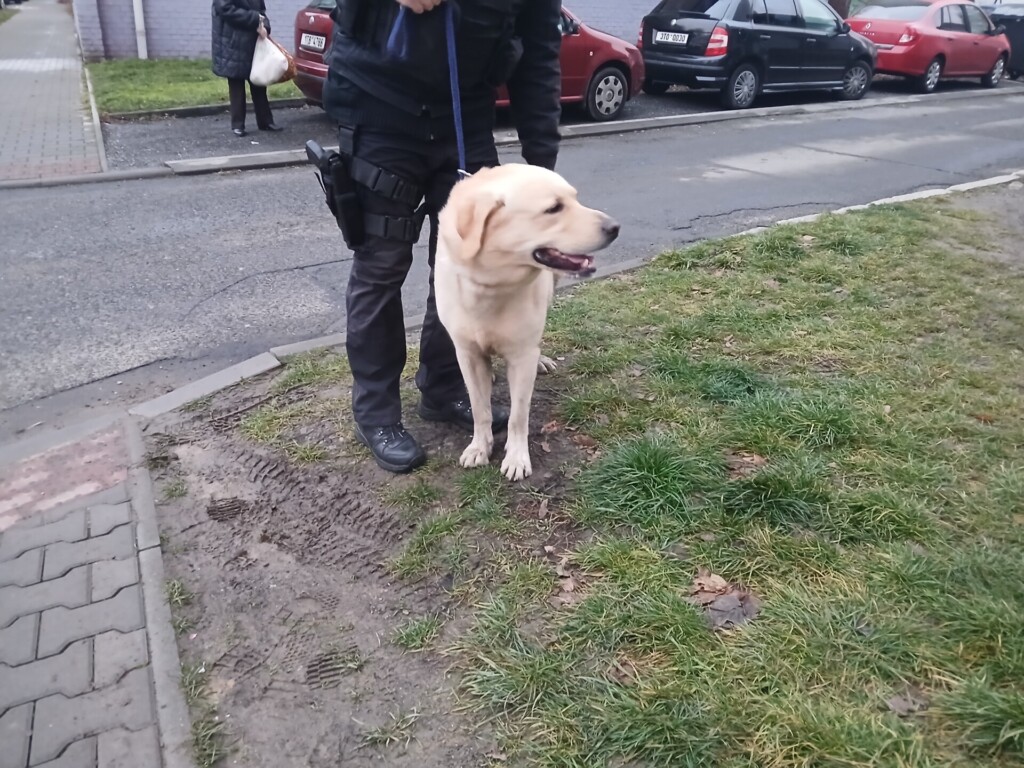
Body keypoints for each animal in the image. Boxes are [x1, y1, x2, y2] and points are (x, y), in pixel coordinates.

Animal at [435, 163, 620, 481]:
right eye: (554, 208)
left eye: (575, 199)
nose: (615, 227)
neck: (491, 285)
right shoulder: (467, 354)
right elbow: (480, 409)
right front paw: (479, 447)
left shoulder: (521, 357)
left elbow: (518, 416)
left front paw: (517, 457)